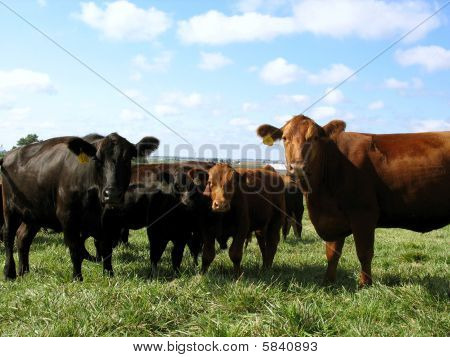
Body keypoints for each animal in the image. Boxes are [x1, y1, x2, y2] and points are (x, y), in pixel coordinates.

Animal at [0, 132, 160, 280]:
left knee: (23, 238)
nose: (112, 194)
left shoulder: (108, 221)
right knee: (8, 237)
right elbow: (75, 250)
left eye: (127, 159)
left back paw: (24, 272)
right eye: (97, 159)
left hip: (35, 215)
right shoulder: (68, 218)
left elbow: (106, 250)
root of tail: (9, 155)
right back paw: (9, 272)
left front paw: (109, 275)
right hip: (9, 208)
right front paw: (77, 278)